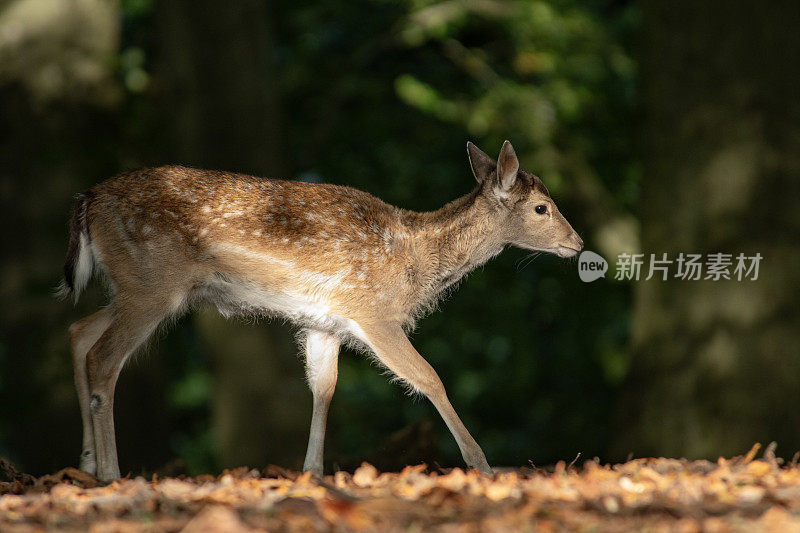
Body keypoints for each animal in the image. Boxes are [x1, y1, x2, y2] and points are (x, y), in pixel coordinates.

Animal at [57, 140, 580, 478]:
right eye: (541, 207)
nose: (576, 244)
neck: (414, 261)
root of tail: (88, 199)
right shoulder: (373, 311)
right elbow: (430, 377)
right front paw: (482, 466)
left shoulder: (323, 323)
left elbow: (324, 389)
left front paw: (311, 473)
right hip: (153, 283)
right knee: (103, 357)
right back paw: (110, 472)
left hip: (135, 287)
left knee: (79, 331)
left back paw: (85, 463)